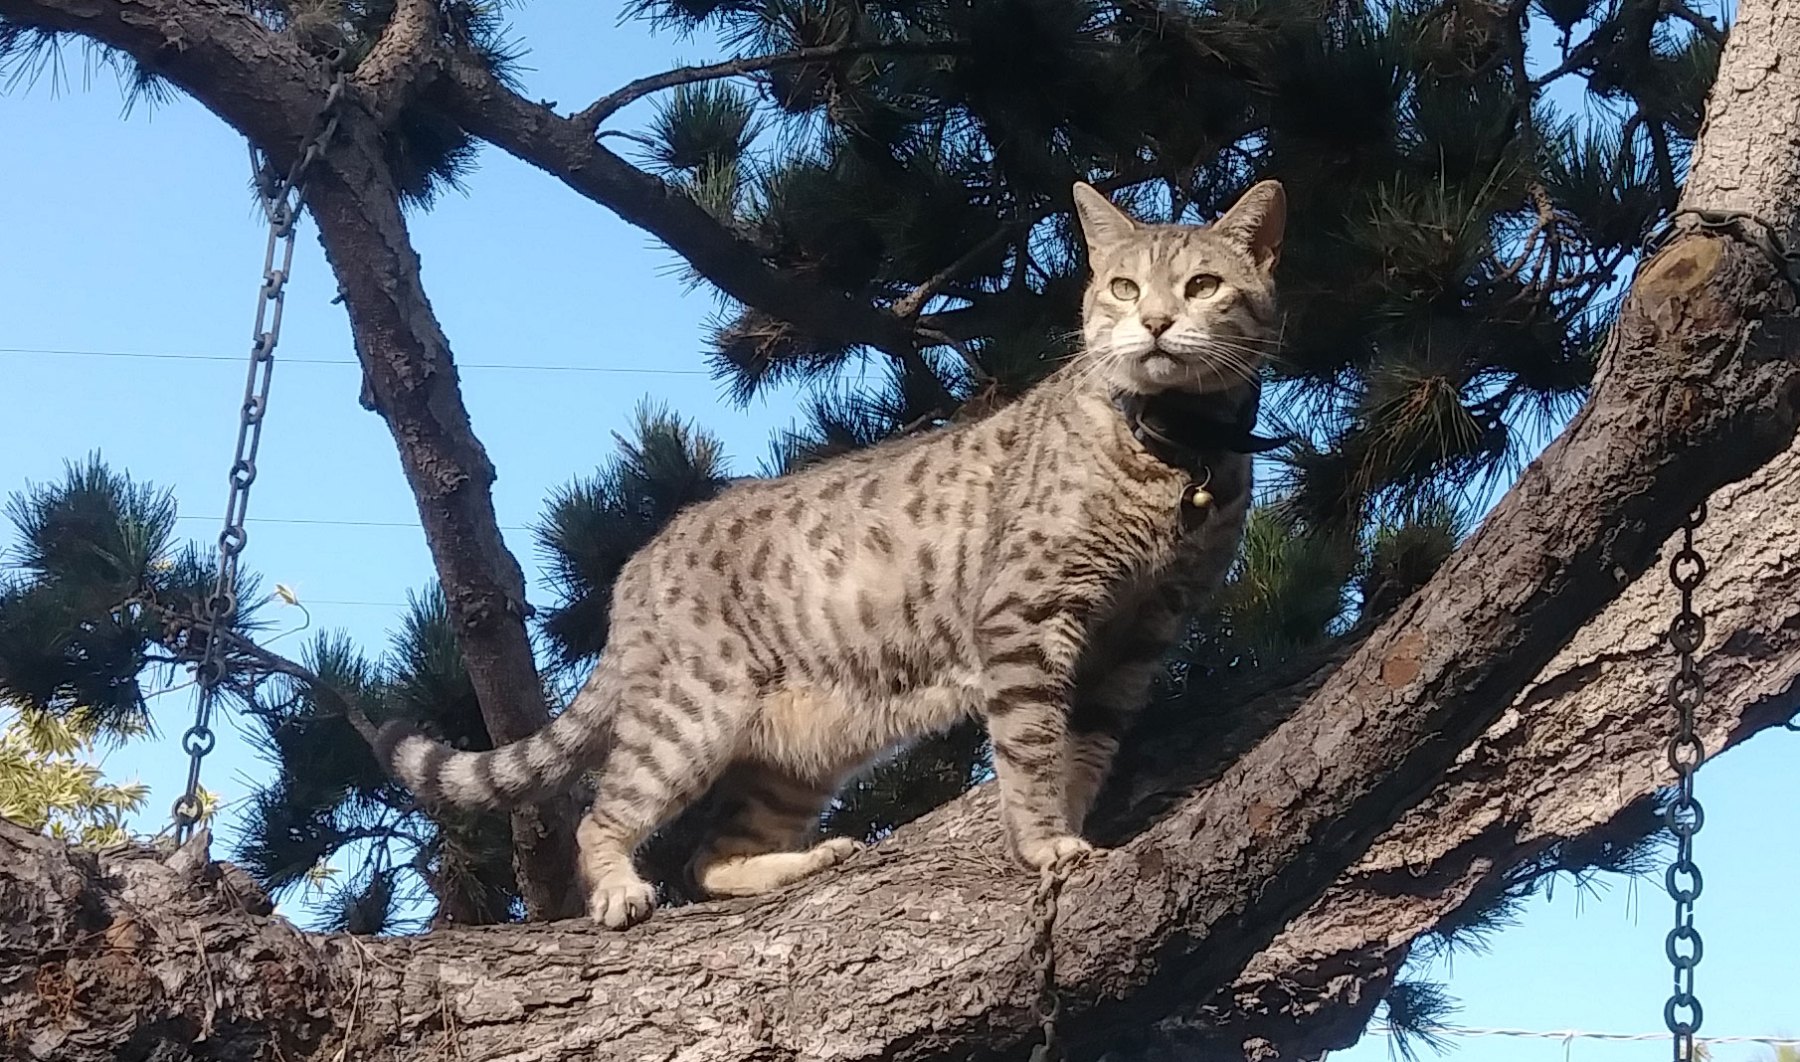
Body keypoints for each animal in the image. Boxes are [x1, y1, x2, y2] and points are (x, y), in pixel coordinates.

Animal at [377, 179, 1286, 927]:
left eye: (1202, 286)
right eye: (1123, 287)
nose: (1156, 322)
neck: (1178, 454)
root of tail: (636, 569)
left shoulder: (1144, 633)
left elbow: (1087, 747)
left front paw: (1073, 814)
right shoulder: (1027, 615)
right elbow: (1030, 749)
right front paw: (1040, 843)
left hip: (800, 757)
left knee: (713, 858)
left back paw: (805, 860)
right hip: (689, 719)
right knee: (607, 815)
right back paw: (622, 890)